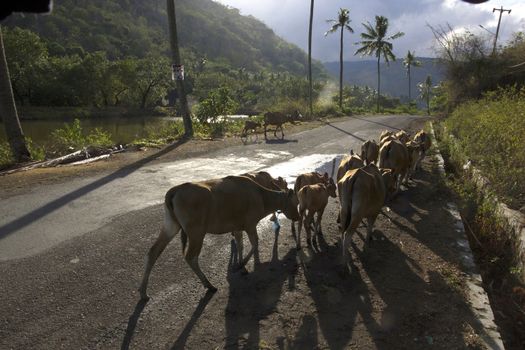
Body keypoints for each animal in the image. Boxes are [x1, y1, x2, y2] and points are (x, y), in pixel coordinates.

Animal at [138, 175, 298, 298]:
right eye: (295, 202)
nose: (297, 216)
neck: (263, 199)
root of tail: (173, 192)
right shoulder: (250, 223)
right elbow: (255, 244)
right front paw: (241, 265)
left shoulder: (237, 227)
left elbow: (240, 244)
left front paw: (241, 265)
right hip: (196, 231)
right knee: (190, 257)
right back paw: (209, 285)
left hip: (171, 224)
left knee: (153, 251)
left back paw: (143, 291)